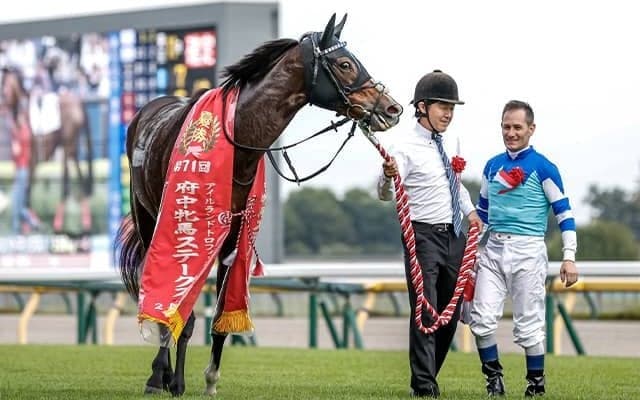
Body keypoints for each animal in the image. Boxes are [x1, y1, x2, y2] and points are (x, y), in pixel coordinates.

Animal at [116, 14, 402, 396]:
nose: (392, 108)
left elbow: (220, 314)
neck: (238, 139)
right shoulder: (184, 227)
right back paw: (160, 374)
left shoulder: (233, 234)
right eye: (345, 64)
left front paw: (209, 380)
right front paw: (167, 379)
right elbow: (181, 306)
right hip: (148, 218)